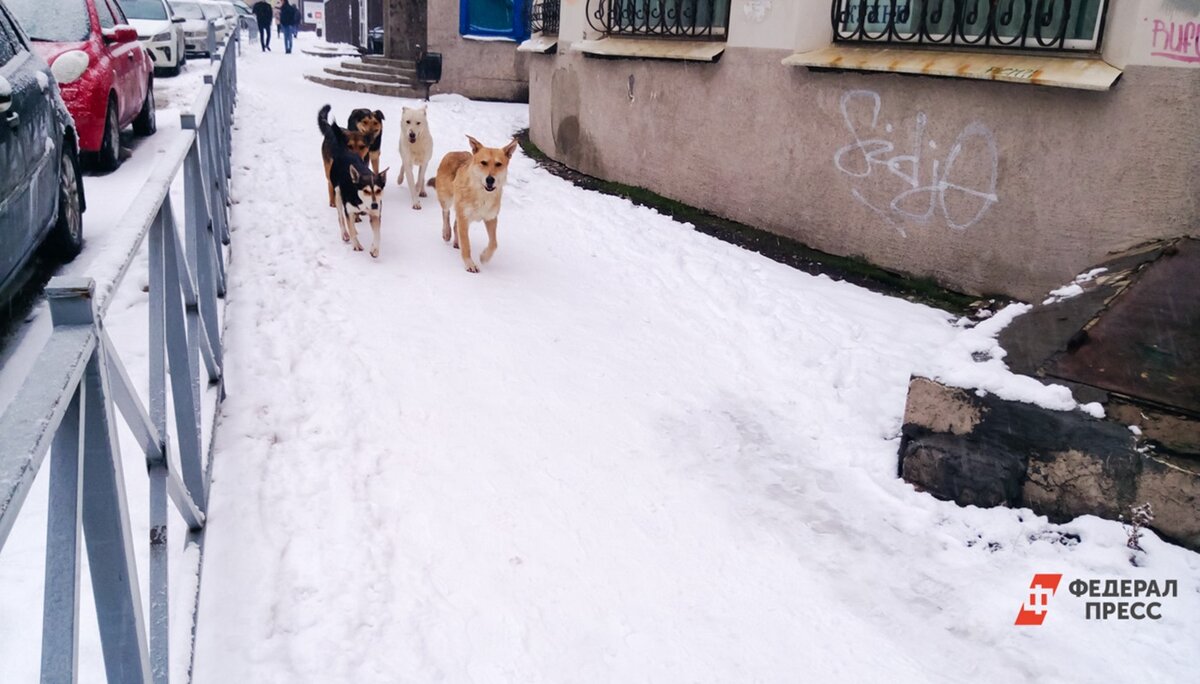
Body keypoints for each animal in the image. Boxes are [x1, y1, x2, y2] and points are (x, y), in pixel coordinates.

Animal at [319, 103, 388, 255]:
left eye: (379, 190)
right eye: (365, 190)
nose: (374, 205)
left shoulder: (375, 214)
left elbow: (378, 234)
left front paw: (375, 249)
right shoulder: (348, 209)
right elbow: (349, 225)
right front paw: (356, 244)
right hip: (338, 193)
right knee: (340, 217)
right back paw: (345, 233)